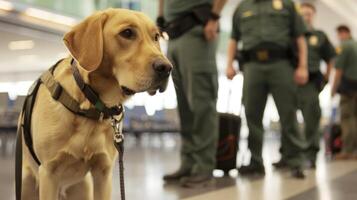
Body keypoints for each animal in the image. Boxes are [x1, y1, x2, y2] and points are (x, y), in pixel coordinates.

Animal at [20, 8, 172, 200]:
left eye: (156, 37)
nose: (166, 68)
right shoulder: (49, 173)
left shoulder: (103, 172)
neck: (88, 104)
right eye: (127, 33)